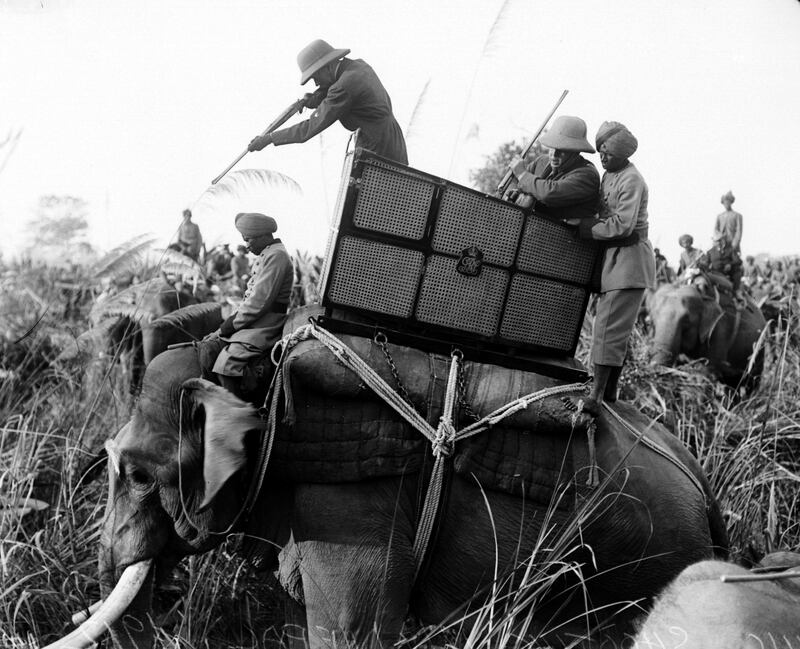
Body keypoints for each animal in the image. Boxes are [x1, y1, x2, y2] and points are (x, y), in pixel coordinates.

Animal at [47, 320, 728, 648]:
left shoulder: (353, 513)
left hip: (637, 569)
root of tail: (705, 489)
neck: (255, 374)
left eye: (139, 475)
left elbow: (354, 630)